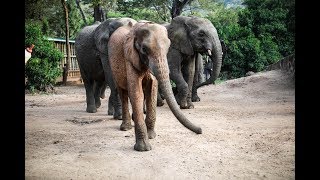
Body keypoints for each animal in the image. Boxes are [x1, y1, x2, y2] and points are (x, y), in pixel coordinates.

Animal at [109, 20, 201, 151]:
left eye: (168, 47)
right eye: (144, 49)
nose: (200, 130)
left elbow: (152, 88)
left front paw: (152, 136)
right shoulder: (130, 58)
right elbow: (136, 92)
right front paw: (143, 148)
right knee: (123, 92)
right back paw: (126, 128)